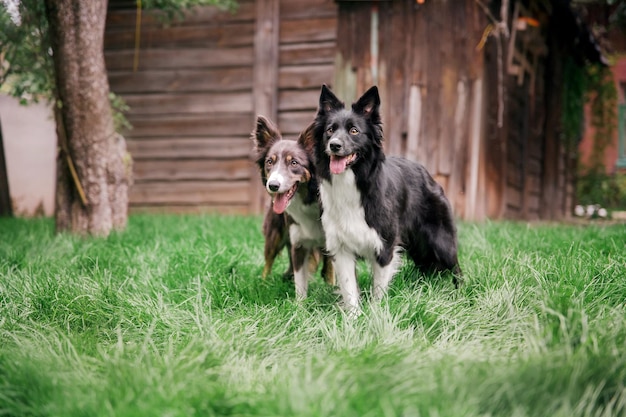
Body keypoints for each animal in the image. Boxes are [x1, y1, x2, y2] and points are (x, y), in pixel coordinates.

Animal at [252, 114, 334, 296]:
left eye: (294, 163)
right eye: (269, 162)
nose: (272, 185)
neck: (309, 199)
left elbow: (331, 270)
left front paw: (333, 290)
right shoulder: (297, 238)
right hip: (275, 233)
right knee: (268, 260)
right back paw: (263, 284)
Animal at [312, 84, 458, 312]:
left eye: (354, 130)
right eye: (330, 130)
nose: (334, 145)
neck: (352, 183)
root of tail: (427, 173)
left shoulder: (385, 245)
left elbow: (378, 289)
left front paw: (376, 313)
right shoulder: (341, 248)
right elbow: (349, 289)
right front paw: (354, 317)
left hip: (441, 241)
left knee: (455, 266)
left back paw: (460, 291)